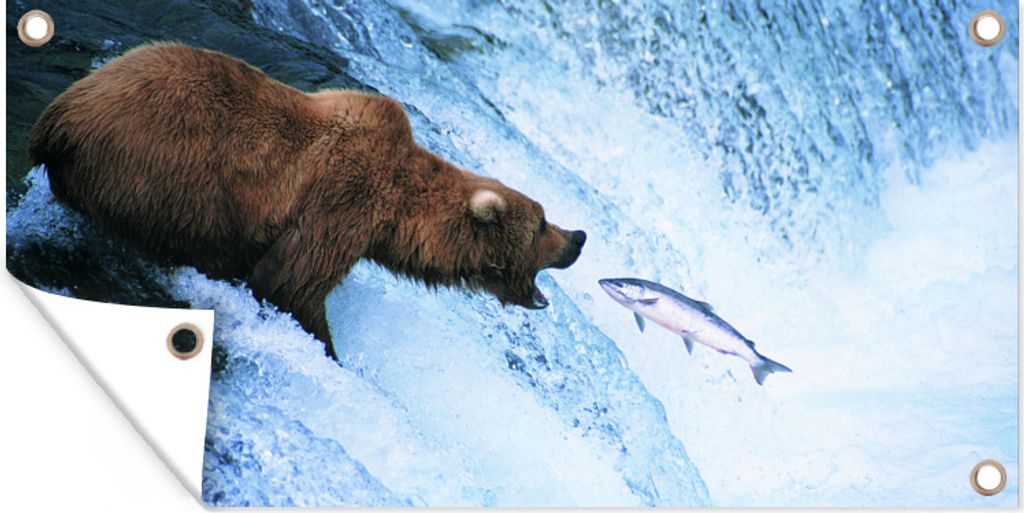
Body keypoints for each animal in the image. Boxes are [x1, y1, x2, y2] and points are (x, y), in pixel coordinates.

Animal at [28, 43, 586, 358]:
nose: (579, 236)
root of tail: (59, 117)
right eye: (541, 223)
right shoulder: (341, 203)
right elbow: (292, 284)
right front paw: (328, 348)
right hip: (165, 173)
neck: (396, 213)